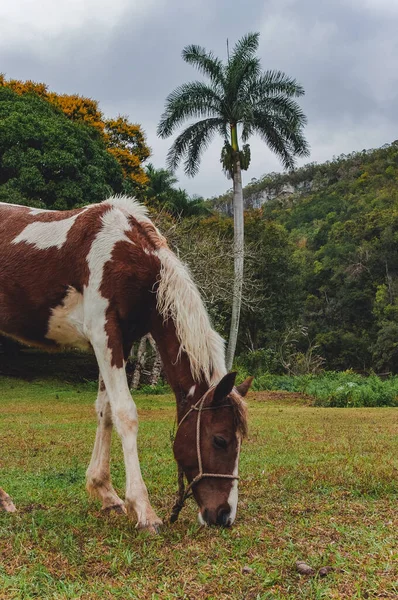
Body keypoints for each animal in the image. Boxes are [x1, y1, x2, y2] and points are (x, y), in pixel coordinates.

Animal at [0, 196, 250, 528]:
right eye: (220, 440)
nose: (224, 515)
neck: (127, 254)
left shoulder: (124, 339)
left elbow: (105, 411)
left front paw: (105, 491)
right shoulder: (103, 332)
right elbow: (125, 413)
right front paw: (144, 509)